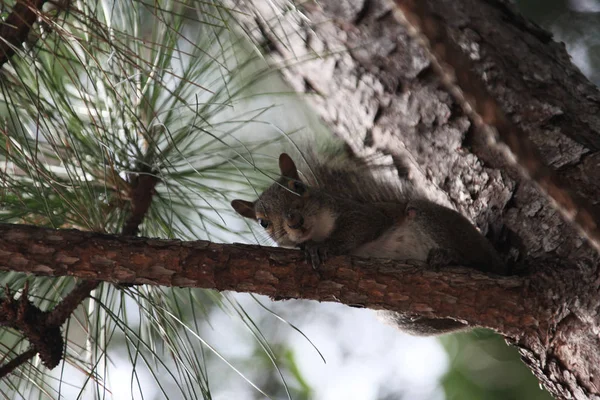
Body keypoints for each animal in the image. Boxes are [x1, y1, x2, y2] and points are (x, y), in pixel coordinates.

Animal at [230, 152, 506, 332]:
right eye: (263, 222)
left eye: (297, 185)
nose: (294, 220)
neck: (319, 229)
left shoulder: (365, 215)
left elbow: (359, 228)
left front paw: (322, 247)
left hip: (431, 219)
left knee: (481, 262)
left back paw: (450, 256)